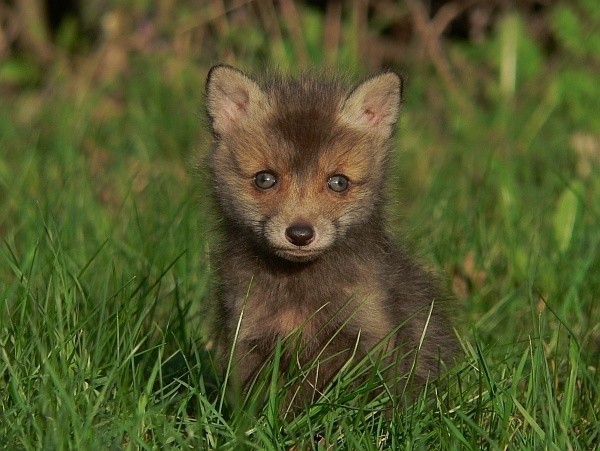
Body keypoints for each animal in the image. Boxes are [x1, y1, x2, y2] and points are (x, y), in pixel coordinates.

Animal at [204, 64, 458, 410]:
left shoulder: (368, 337)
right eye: (265, 179)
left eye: (338, 182)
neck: (299, 294)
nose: (300, 234)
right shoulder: (248, 337)